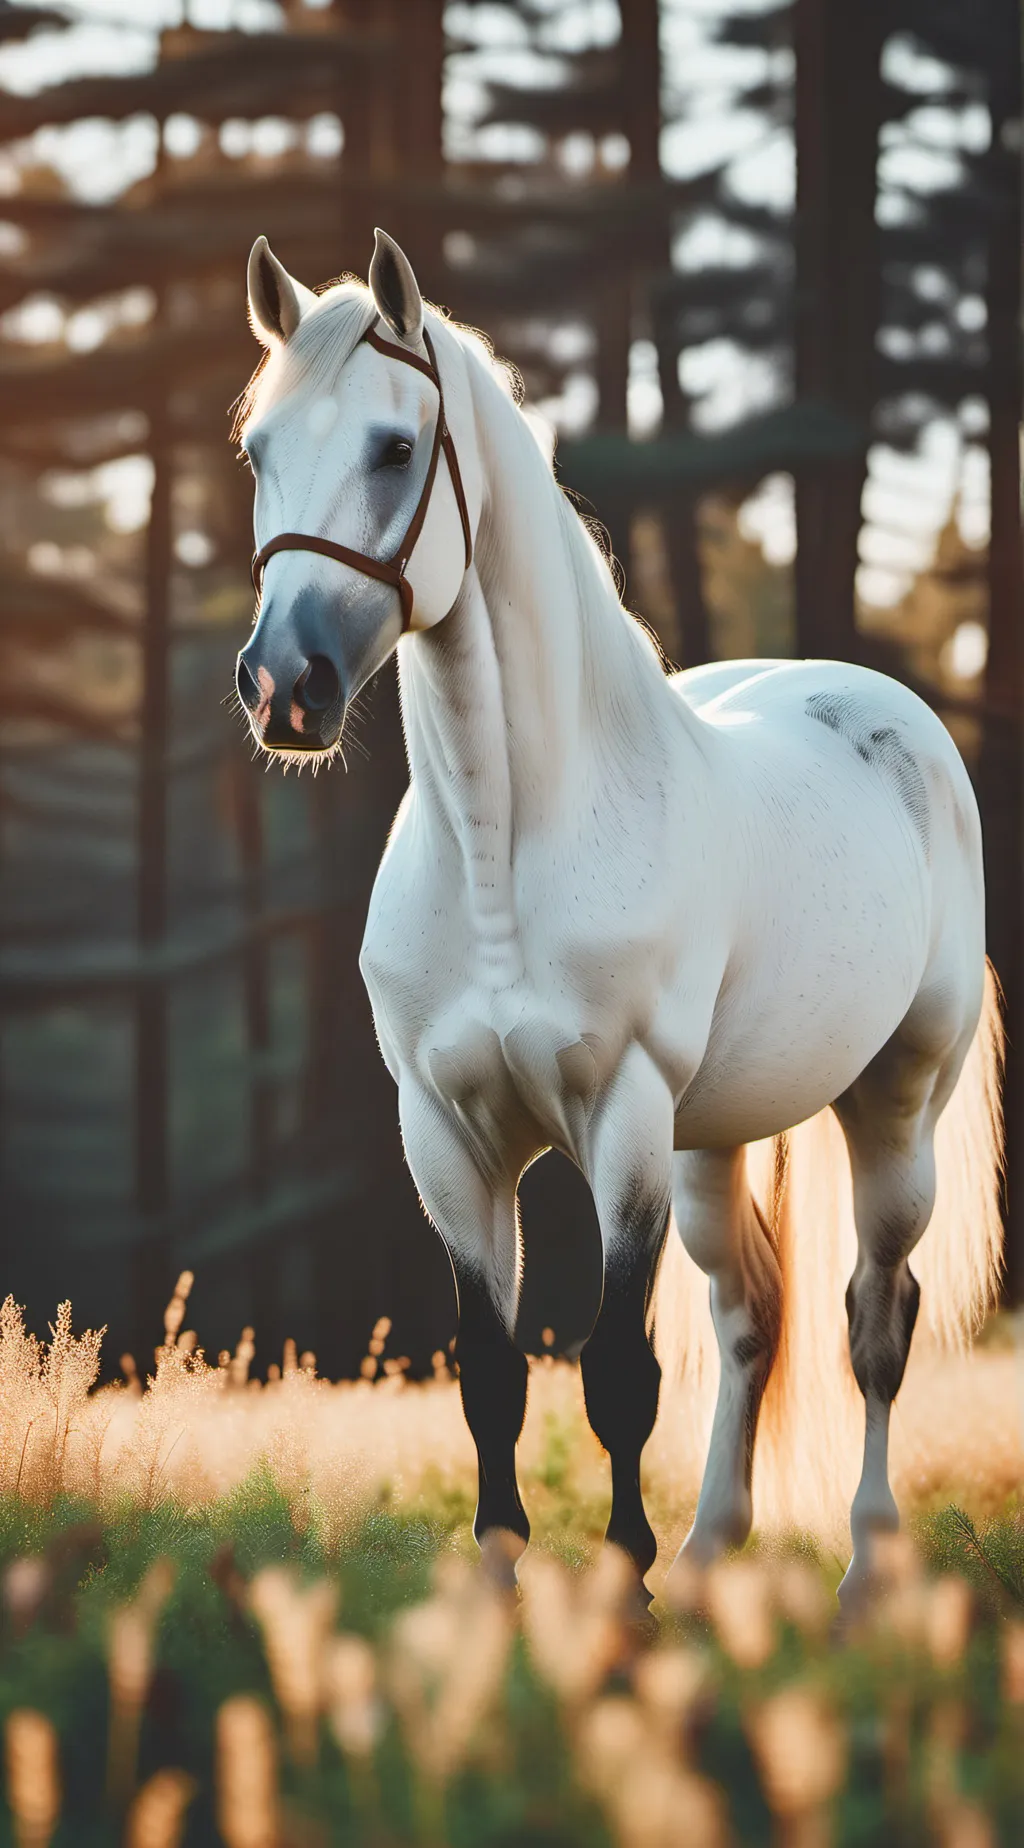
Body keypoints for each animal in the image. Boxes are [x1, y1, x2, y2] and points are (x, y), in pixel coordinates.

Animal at [234, 229, 1003, 1607]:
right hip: (714, 1144)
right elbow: (491, 1373)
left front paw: (621, 1589)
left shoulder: (623, 1124)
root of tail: (883, 710)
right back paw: (709, 1554)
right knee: (752, 1318)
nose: (284, 688)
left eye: (395, 448)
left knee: (875, 1320)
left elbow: (614, 1372)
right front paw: (501, 1589)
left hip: (892, 1108)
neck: (508, 854)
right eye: (259, 449)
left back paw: (864, 1571)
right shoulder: (448, 1142)